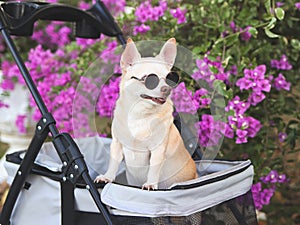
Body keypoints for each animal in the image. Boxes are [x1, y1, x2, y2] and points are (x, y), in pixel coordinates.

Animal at [95, 37, 197, 189]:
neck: (140, 114)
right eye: (150, 79)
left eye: (169, 79)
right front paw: (107, 177)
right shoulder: (117, 144)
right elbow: (113, 163)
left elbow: (153, 169)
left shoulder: (157, 150)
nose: (167, 89)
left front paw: (150, 184)